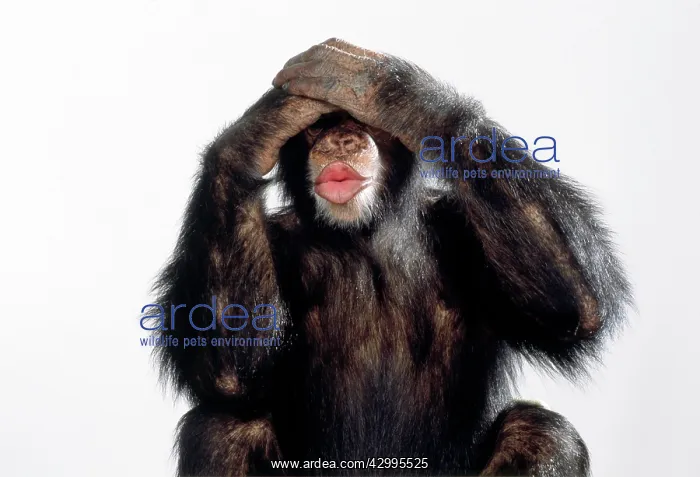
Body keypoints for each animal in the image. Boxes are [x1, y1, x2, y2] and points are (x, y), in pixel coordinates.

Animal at [151, 39, 631, 476]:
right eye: (315, 128)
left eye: (364, 122)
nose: (341, 137)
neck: (364, 236)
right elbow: (231, 368)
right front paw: (268, 120)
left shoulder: (463, 232)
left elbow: (574, 305)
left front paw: (384, 88)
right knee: (224, 428)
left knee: (543, 433)